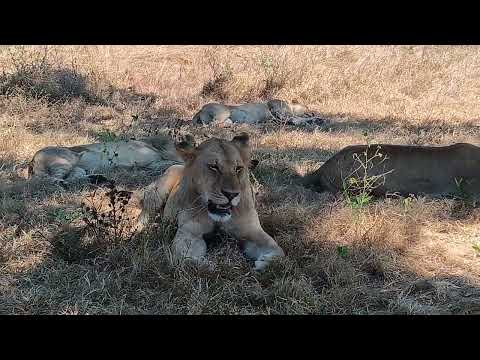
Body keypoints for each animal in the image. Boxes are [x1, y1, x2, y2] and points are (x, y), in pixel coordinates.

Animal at [28, 135, 186, 186]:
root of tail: (32, 159)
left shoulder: (154, 163)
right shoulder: (152, 162)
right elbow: (175, 163)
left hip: (78, 169)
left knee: (73, 179)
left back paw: (99, 179)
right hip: (65, 161)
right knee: (53, 180)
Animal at [137, 132, 284, 270]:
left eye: (238, 168)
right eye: (214, 167)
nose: (231, 194)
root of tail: (179, 165)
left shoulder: (252, 231)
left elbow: (279, 252)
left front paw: (266, 263)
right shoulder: (190, 233)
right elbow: (186, 260)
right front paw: (208, 265)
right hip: (158, 192)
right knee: (145, 212)